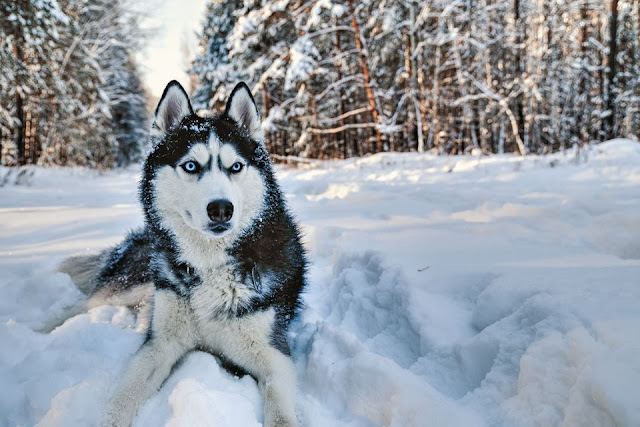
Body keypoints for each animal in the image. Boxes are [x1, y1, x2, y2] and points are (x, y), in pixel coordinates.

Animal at [50, 81, 310, 427]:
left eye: (236, 167)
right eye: (190, 166)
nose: (221, 209)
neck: (210, 266)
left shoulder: (274, 355)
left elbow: (281, 413)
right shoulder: (159, 344)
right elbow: (121, 399)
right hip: (134, 283)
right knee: (80, 305)